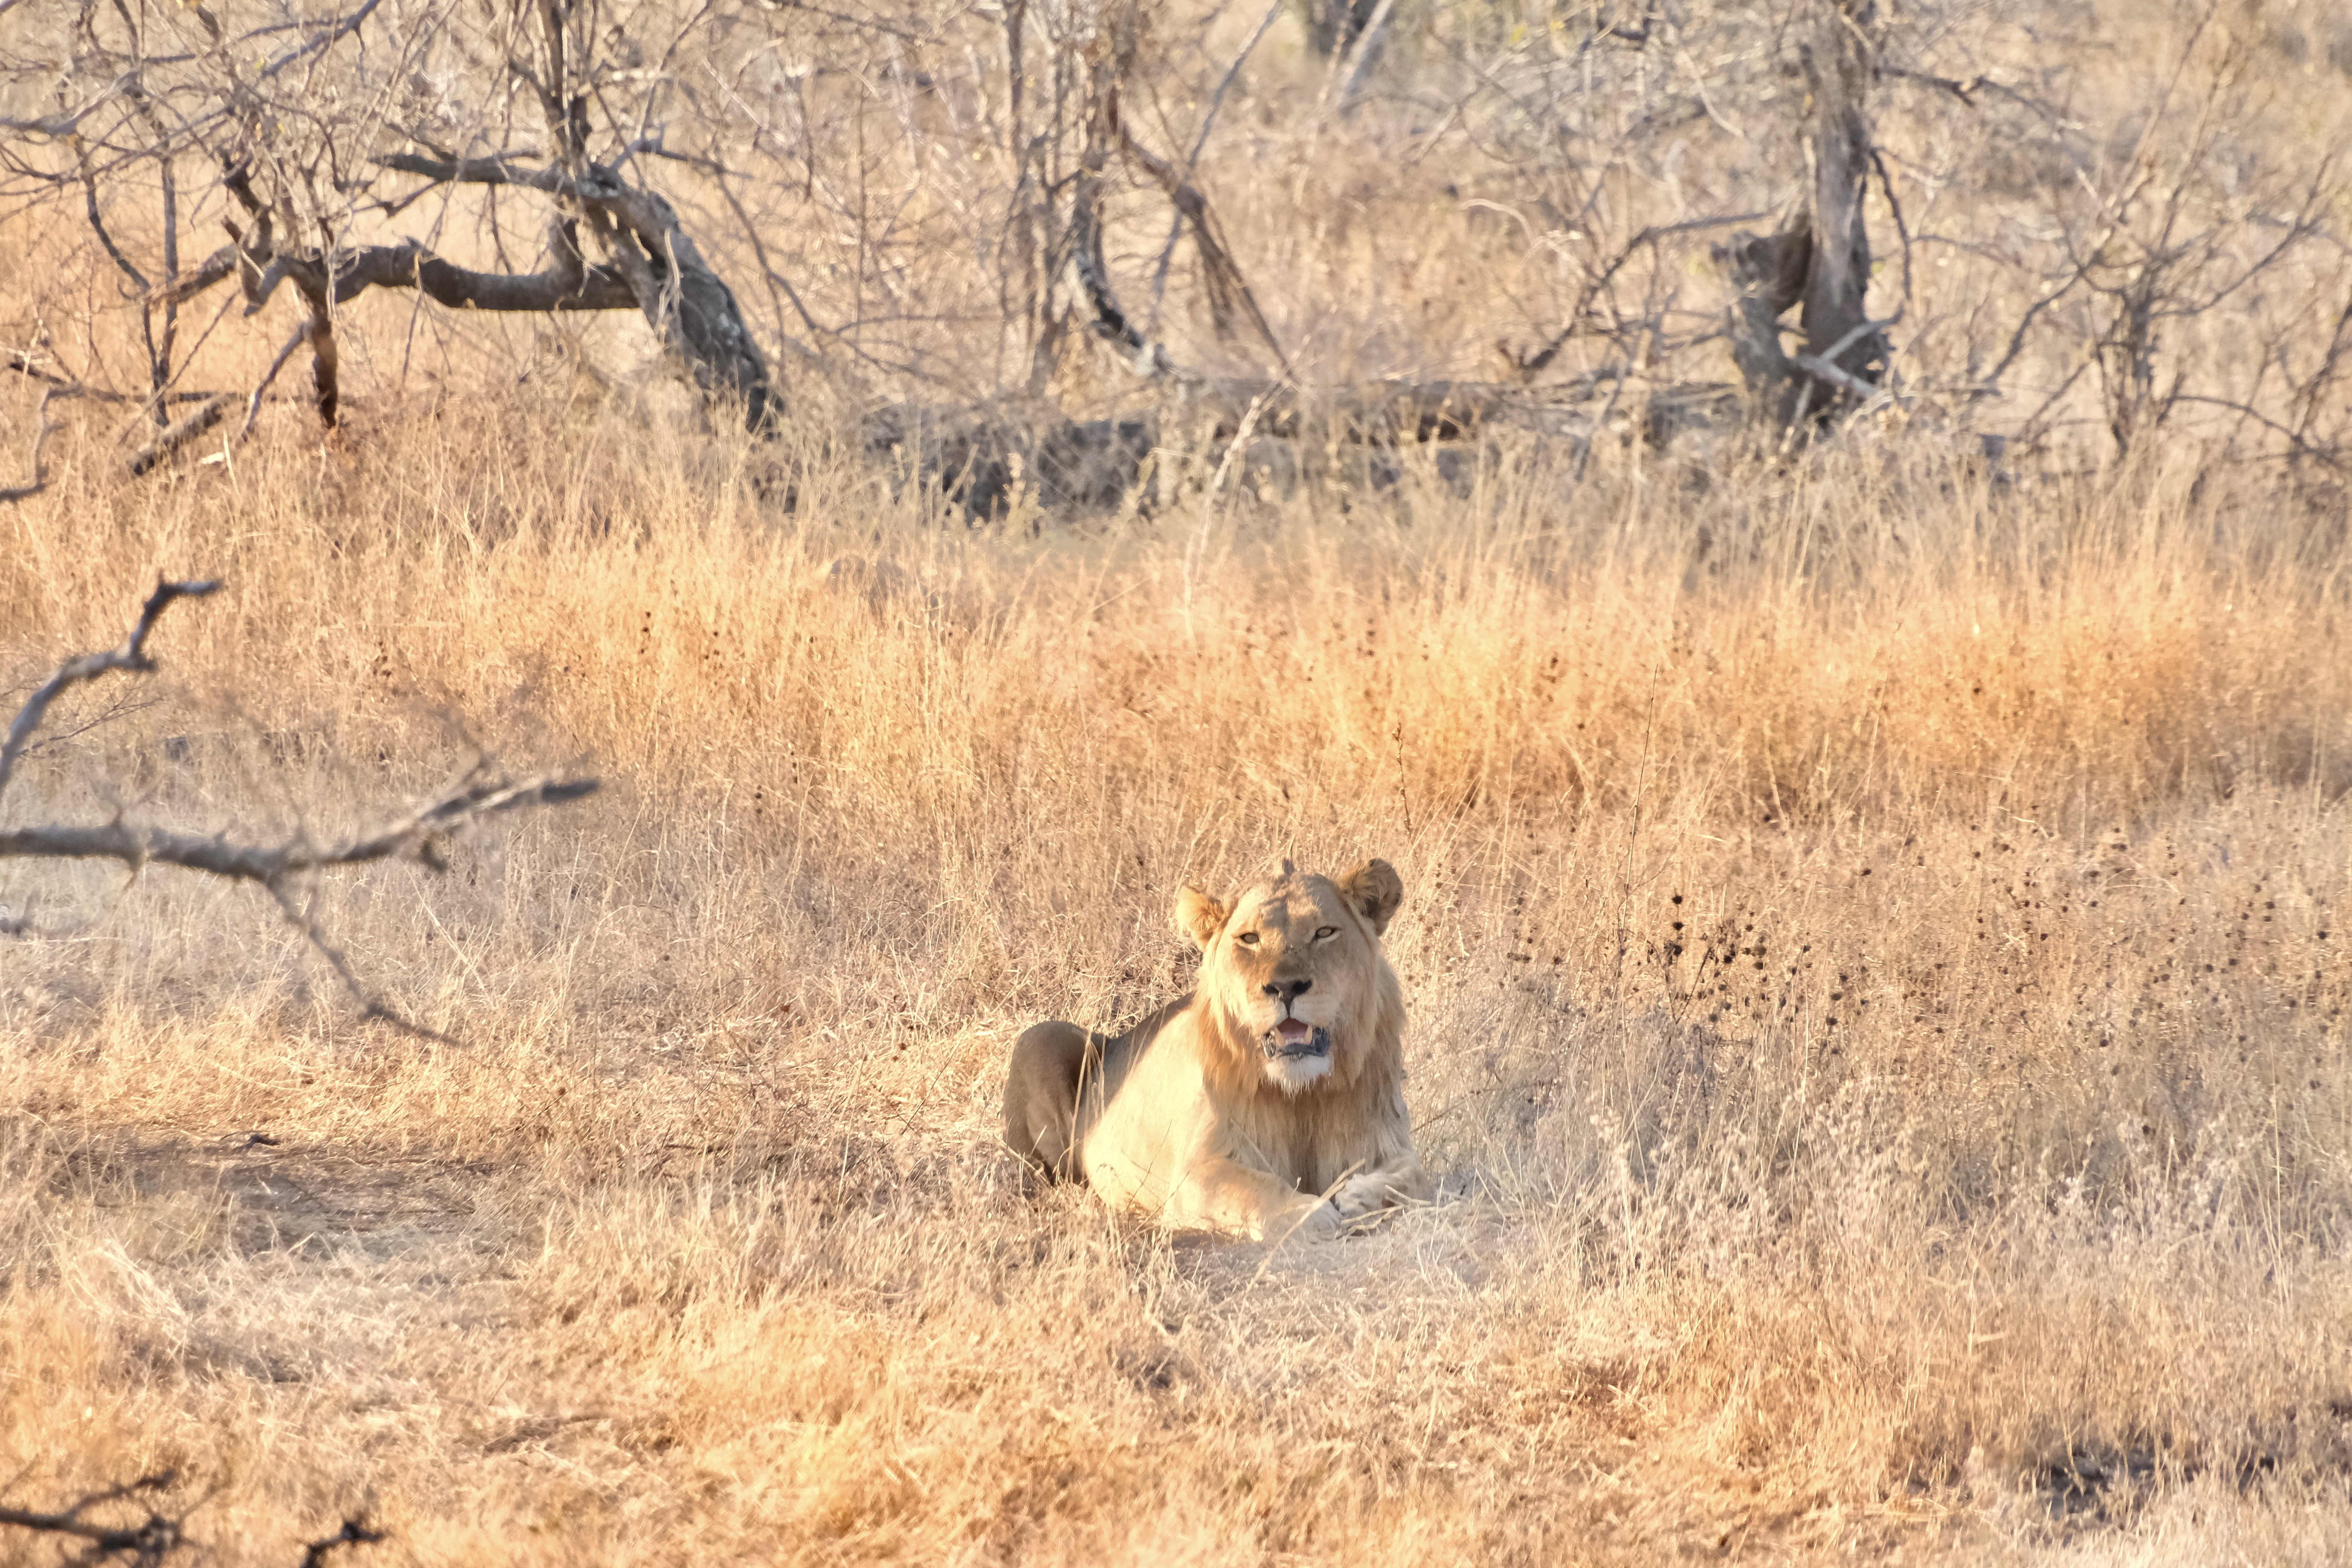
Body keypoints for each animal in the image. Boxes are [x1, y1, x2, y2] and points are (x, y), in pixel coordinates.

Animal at [1002, 857, 1433, 1240]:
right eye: (1250, 938)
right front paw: (1308, 1214)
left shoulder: (1386, 1141)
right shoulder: (1196, 1172)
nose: (1286, 987)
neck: (1302, 1097)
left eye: (1325, 932)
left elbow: (1415, 1176)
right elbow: (1253, 1188)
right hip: (1040, 1038)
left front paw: (1360, 1197)